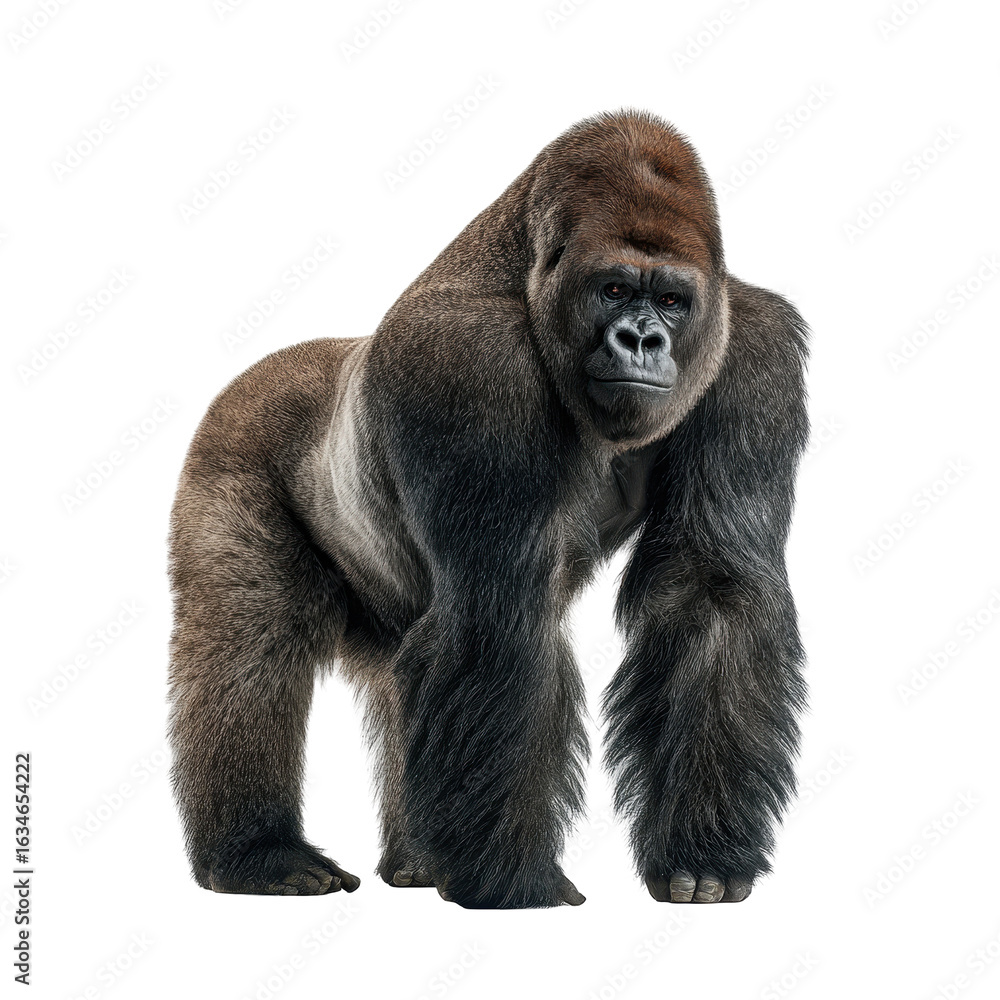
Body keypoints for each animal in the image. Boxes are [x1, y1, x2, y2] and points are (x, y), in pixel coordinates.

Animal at [167, 109, 809, 908]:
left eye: (670, 300)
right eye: (614, 289)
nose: (641, 339)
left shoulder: (753, 350)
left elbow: (708, 591)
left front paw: (703, 852)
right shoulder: (472, 364)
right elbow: (500, 613)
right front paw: (515, 878)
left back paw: (415, 859)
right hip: (231, 441)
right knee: (250, 644)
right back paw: (257, 854)